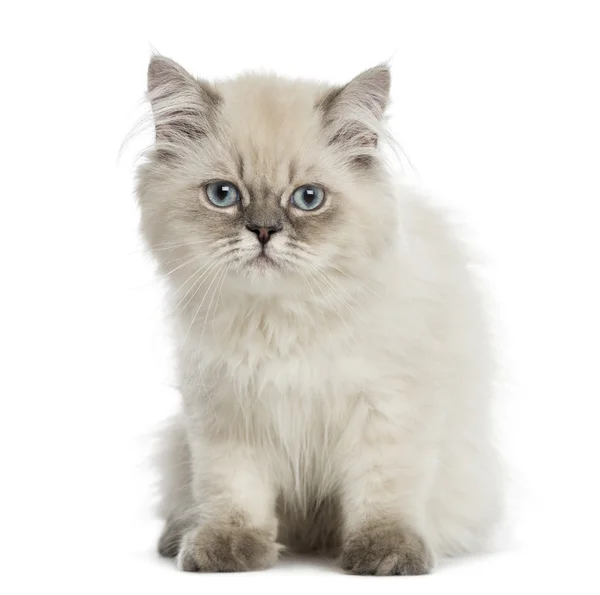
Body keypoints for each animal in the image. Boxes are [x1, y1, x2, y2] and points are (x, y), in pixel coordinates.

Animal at [135, 56, 502, 576]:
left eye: (307, 198)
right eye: (223, 194)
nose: (263, 231)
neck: (281, 319)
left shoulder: (388, 412)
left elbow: (383, 493)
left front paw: (386, 556)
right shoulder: (229, 415)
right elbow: (234, 493)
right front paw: (227, 551)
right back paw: (176, 537)